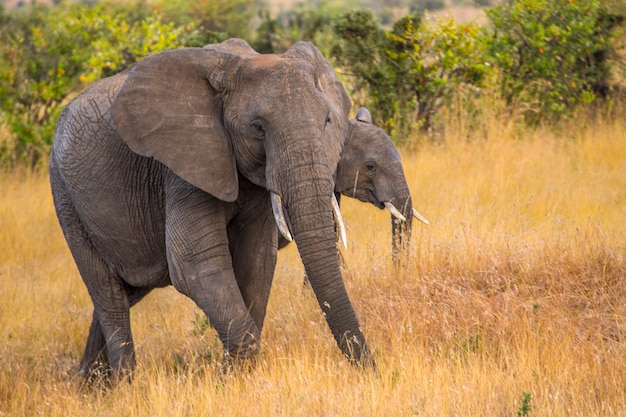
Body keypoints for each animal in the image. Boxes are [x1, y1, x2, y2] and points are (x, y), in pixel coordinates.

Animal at [50, 37, 376, 378]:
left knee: (125, 294)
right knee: (108, 294)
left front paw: (232, 375)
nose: (372, 370)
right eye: (258, 128)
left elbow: (257, 259)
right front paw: (227, 378)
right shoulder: (184, 166)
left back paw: (91, 383)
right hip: (66, 198)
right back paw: (125, 383)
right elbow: (194, 264)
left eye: (327, 121)